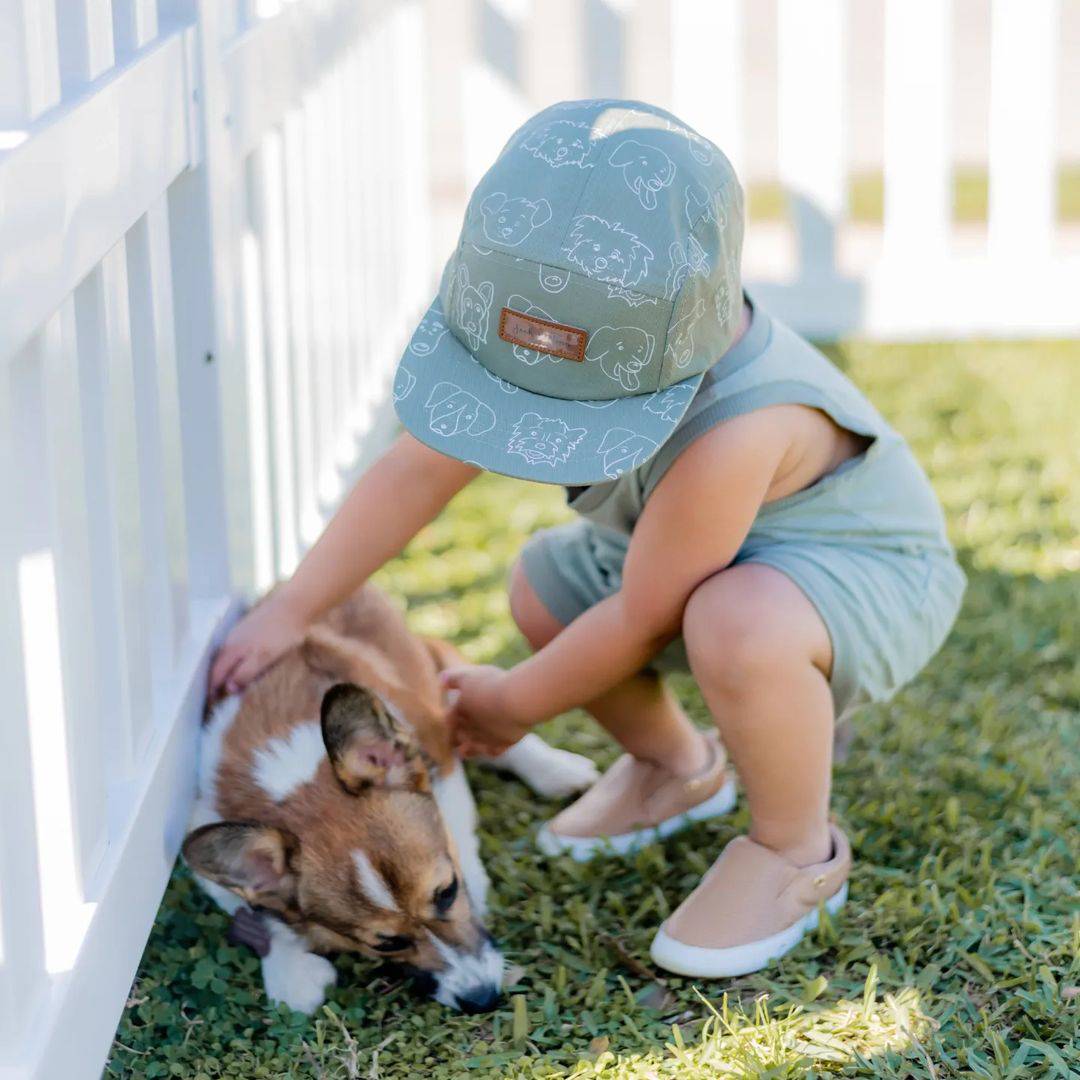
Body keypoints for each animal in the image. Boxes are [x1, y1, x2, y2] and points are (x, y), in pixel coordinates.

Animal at [180, 583, 596, 1010]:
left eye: (447, 892)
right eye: (388, 943)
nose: (481, 998)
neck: (291, 770)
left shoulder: (436, 747)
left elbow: (456, 824)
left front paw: (477, 885)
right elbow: (256, 911)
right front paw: (290, 971)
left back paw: (556, 770)